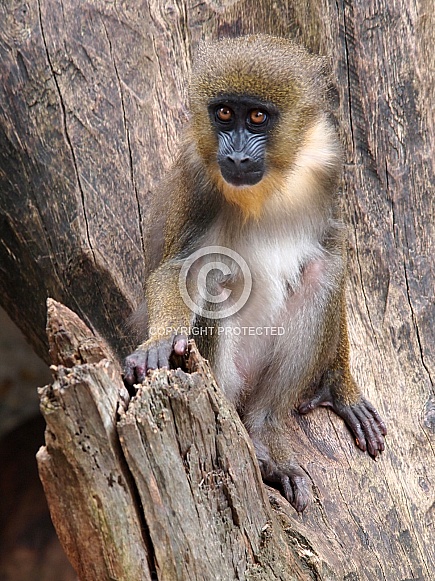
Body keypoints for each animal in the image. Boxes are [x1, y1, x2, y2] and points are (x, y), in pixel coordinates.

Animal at [123, 34, 388, 510]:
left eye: (258, 116)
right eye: (225, 114)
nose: (237, 155)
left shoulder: (328, 158)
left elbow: (334, 249)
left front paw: (341, 386)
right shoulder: (196, 175)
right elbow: (176, 269)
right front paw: (158, 343)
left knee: (322, 272)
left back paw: (264, 436)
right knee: (214, 280)